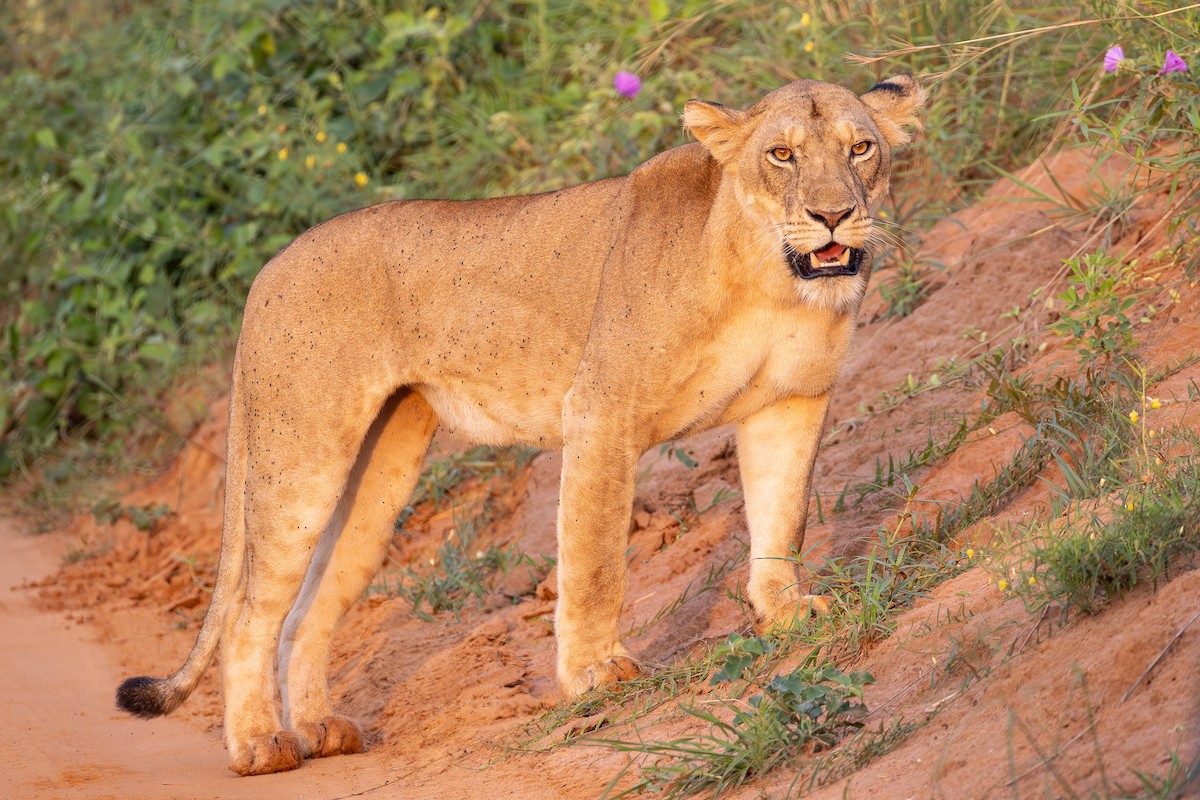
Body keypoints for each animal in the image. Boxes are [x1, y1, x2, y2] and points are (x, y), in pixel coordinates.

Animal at [115, 75, 924, 775]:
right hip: (302, 458)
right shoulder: (601, 412)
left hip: (379, 473)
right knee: (250, 612)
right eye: (781, 154)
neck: (770, 280)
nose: (831, 216)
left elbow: (782, 520)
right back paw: (259, 745)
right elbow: (594, 561)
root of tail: (268, 269)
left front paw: (787, 615)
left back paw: (319, 728)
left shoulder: (791, 404)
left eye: (860, 147)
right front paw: (596, 674)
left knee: (305, 611)